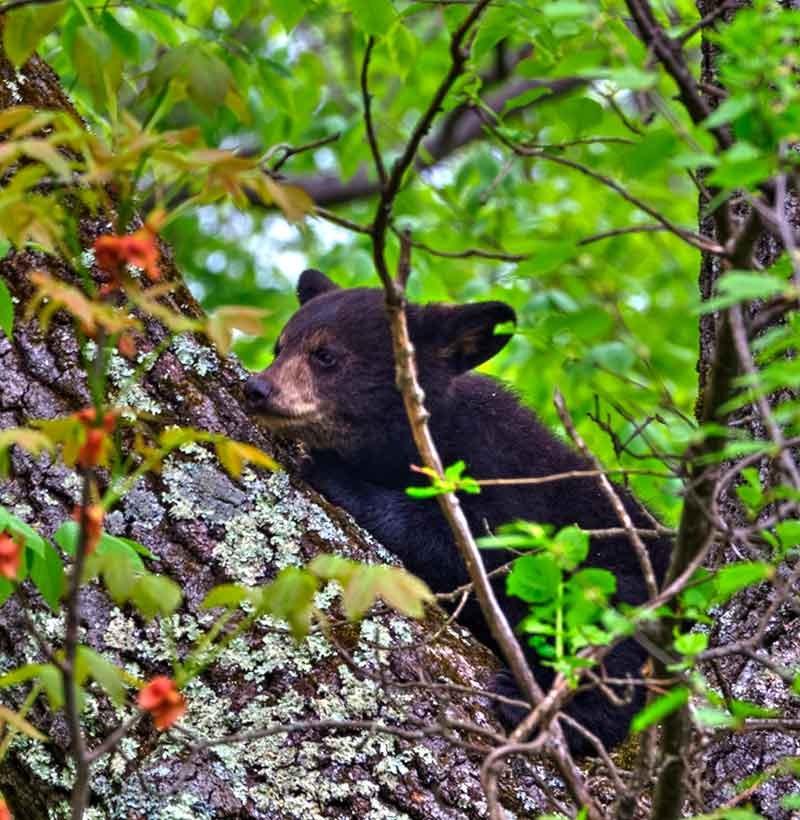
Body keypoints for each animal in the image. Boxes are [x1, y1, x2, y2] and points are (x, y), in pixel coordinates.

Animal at [244, 266, 668, 752]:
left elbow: (468, 549)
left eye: (325, 355)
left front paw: (336, 475)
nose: (256, 388)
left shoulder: (503, 478)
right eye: (279, 347)